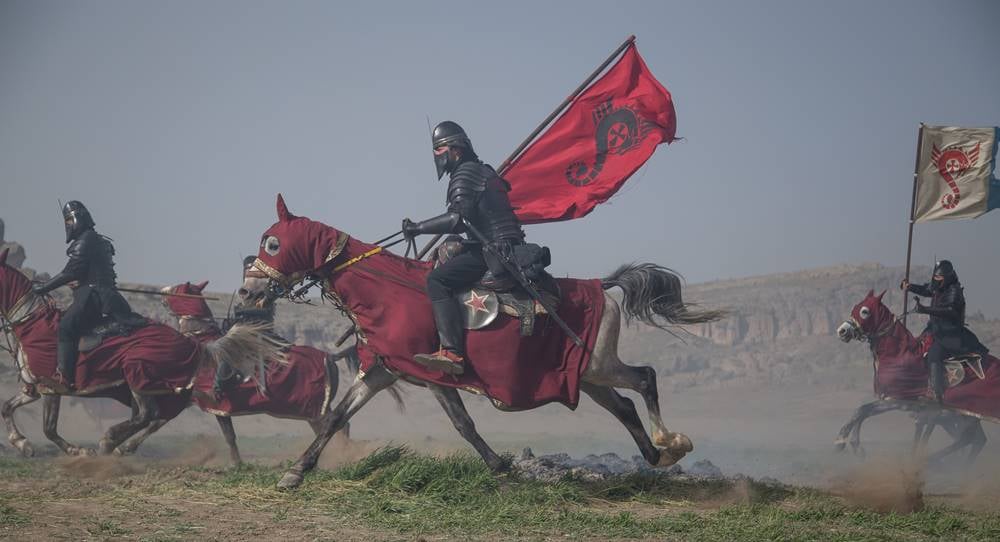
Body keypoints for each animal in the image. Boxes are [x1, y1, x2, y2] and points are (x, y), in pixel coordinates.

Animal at [0, 250, 286, 460]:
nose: (163, 292)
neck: (30, 322)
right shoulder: (33, 388)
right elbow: (7, 407)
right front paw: (22, 443)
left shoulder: (52, 386)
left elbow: (49, 429)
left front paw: (78, 450)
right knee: (152, 417)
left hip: (138, 376)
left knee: (148, 415)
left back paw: (110, 441)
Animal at [242, 194, 728, 488]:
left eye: (272, 243)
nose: (248, 293)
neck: (382, 291)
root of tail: (600, 287)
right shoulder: (382, 371)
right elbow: (334, 418)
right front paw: (295, 473)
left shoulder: (433, 375)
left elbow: (464, 425)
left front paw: (502, 470)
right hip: (586, 374)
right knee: (624, 405)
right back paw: (655, 456)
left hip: (599, 365)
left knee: (644, 378)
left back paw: (671, 443)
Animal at [836, 292, 992, 466]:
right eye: (855, 307)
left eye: (865, 311)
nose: (842, 331)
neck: (898, 355)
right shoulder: (891, 400)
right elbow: (863, 410)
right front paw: (856, 446)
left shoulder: (898, 400)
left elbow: (862, 411)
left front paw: (842, 441)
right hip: (960, 417)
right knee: (973, 439)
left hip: (957, 416)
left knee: (970, 438)